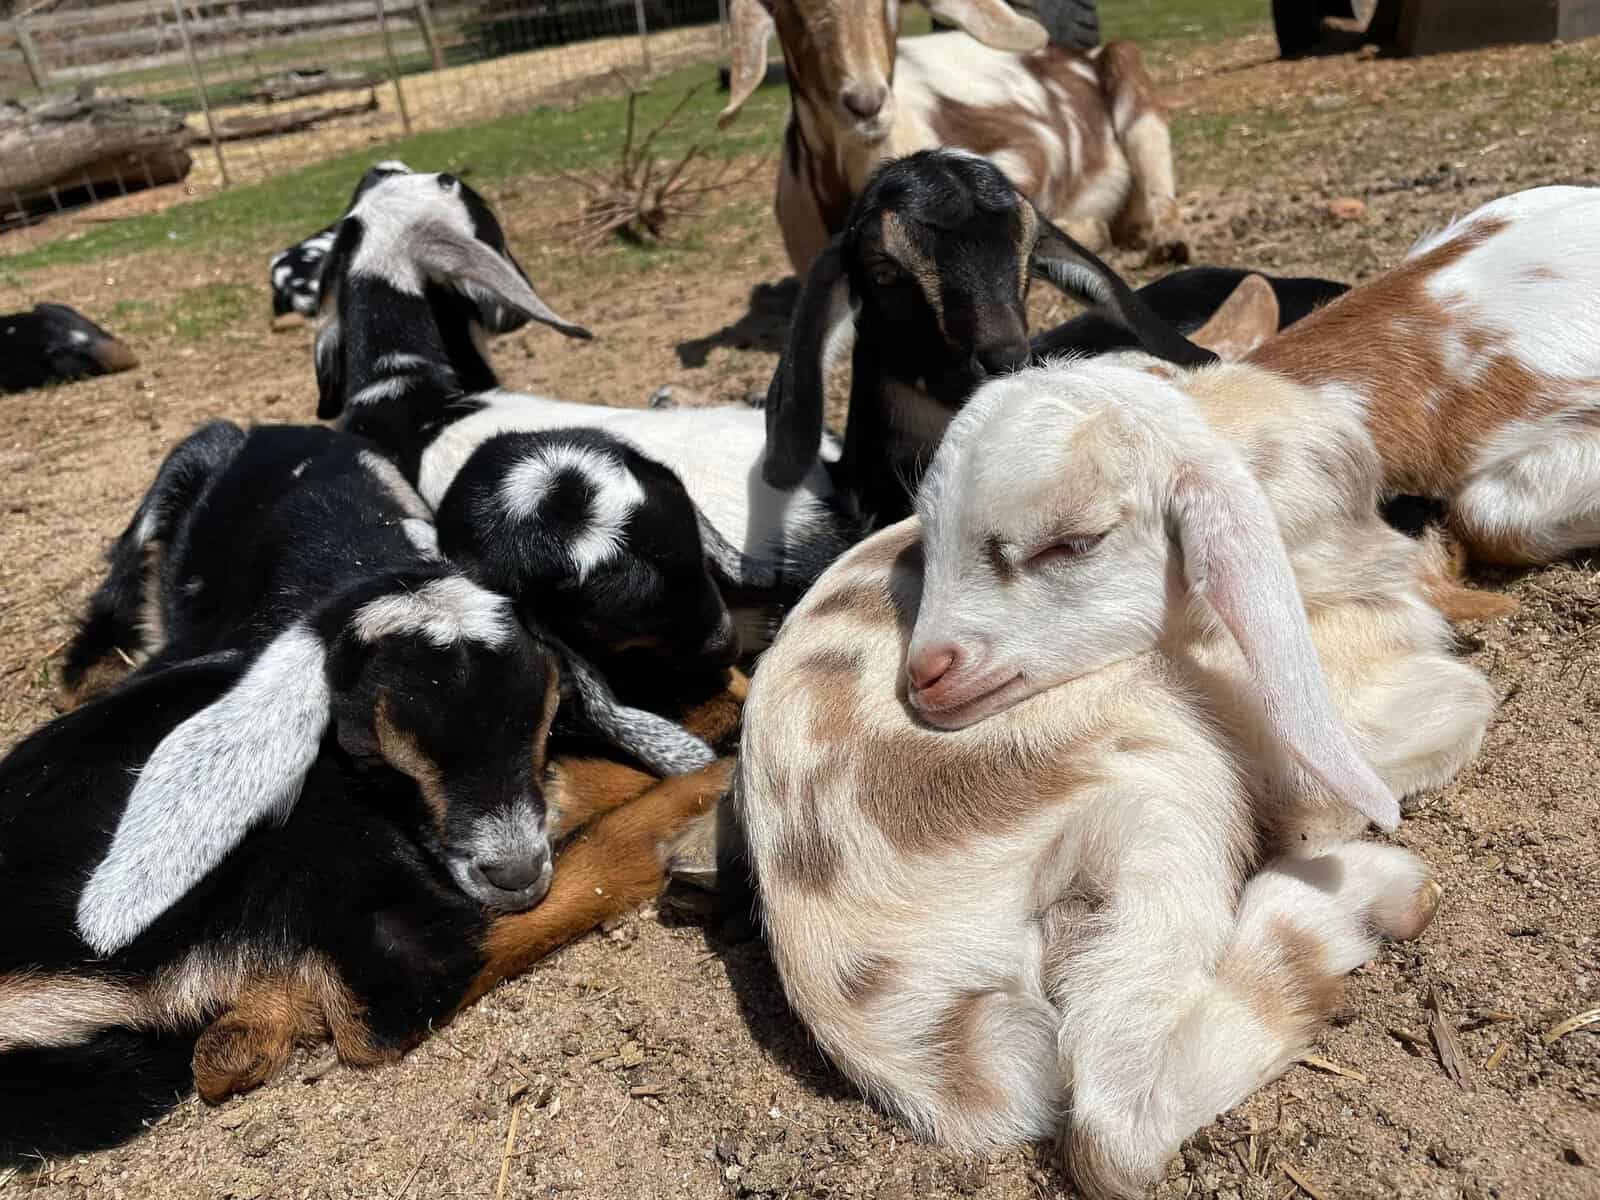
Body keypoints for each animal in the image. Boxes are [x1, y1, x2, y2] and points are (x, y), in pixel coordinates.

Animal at [737, 353, 1495, 1198]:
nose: (925, 676)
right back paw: (1368, 896)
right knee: (1114, 1127)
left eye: (1070, 545)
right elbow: (1463, 701)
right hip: (1162, 779)